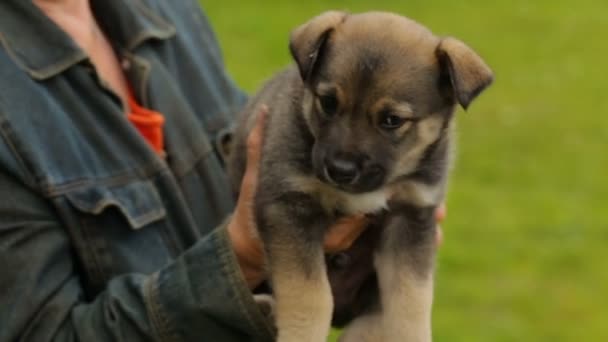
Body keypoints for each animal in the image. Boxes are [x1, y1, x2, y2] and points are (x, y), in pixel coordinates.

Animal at [226, 10, 492, 342]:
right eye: (328, 102)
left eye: (392, 120)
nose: (340, 170)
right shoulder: (289, 206)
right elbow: (310, 296)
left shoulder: (412, 217)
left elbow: (411, 300)